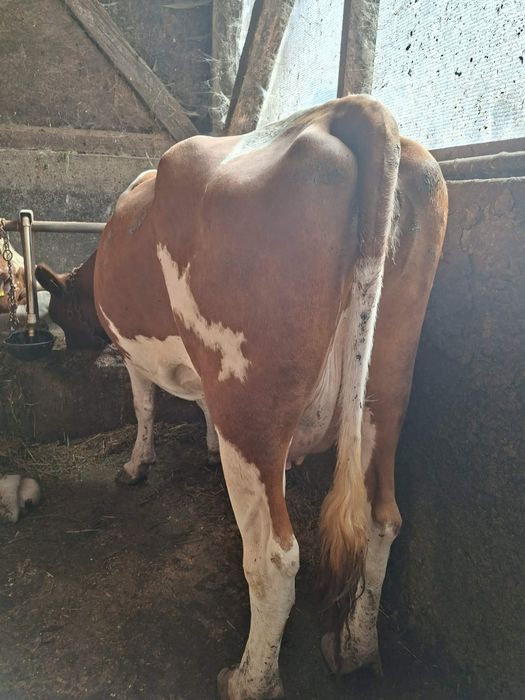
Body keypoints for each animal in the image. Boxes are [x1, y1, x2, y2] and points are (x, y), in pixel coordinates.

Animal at [35, 95, 448, 699]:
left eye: (58, 311)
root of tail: (342, 110)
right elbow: (199, 406)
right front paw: (204, 448)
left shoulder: (137, 357)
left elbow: (143, 407)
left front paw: (136, 466)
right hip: (385, 389)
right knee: (381, 520)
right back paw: (352, 647)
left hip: (250, 406)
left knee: (273, 558)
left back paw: (248, 679)